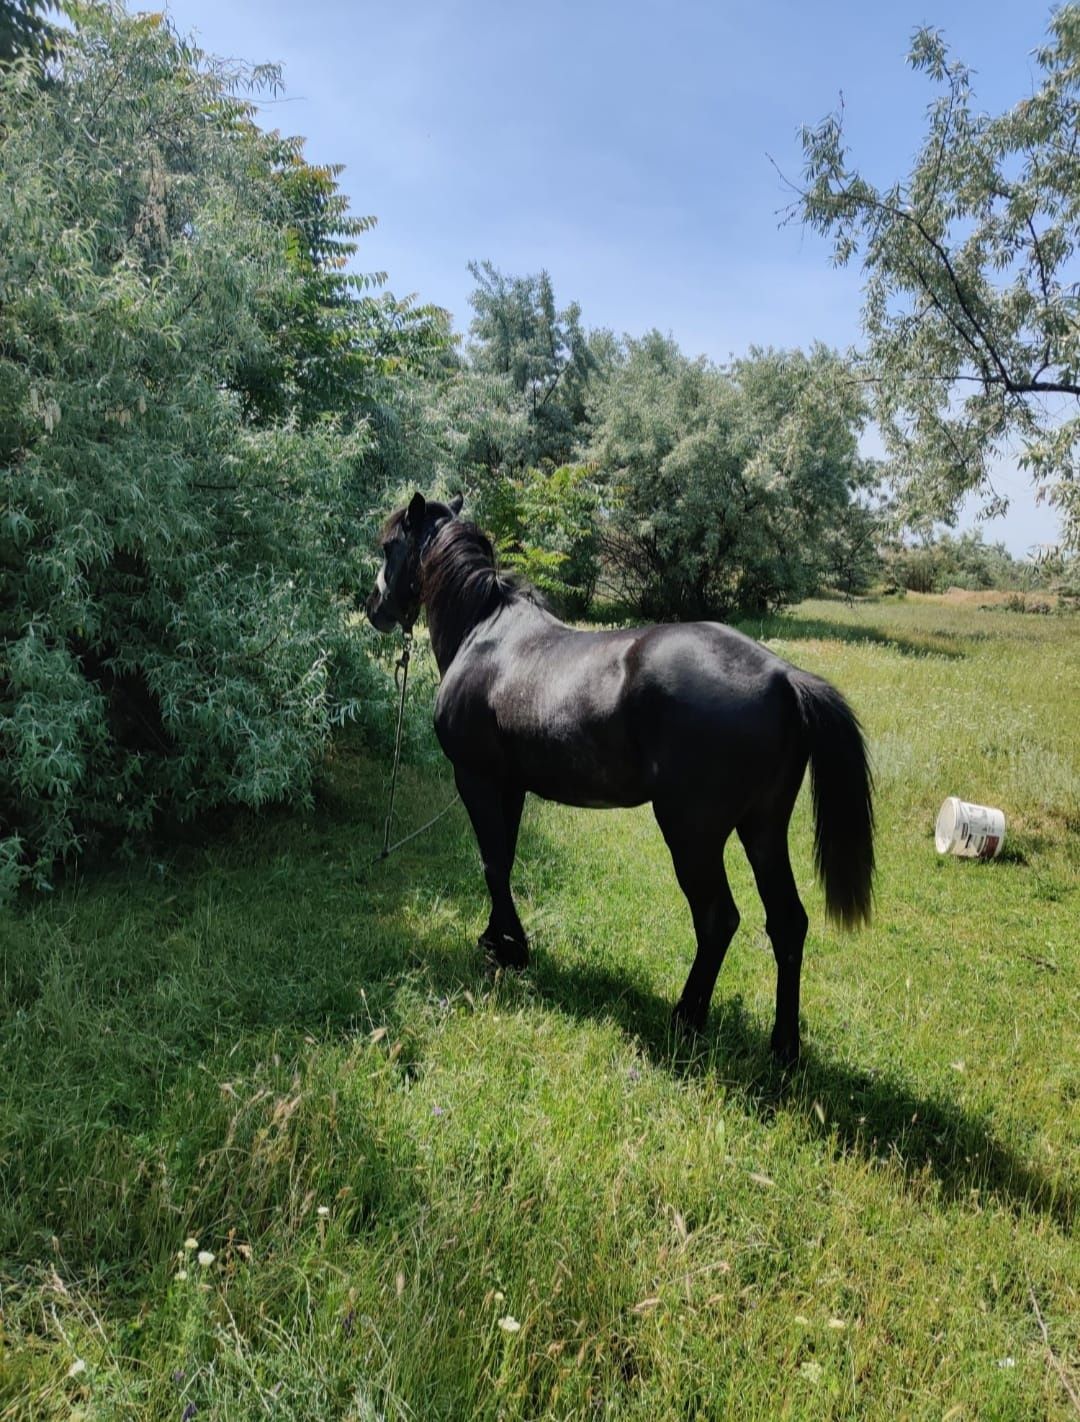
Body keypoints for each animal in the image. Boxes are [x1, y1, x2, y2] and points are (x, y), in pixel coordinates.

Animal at [367, 494, 876, 1063]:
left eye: (388, 546)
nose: (373, 606)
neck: (486, 635)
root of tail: (783, 676)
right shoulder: (512, 787)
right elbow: (505, 861)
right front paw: (499, 941)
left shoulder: (475, 779)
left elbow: (492, 863)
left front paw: (512, 950)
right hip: (762, 829)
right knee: (787, 922)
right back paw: (784, 1048)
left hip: (692, 835)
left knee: (718, 918)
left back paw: (685, 1019)